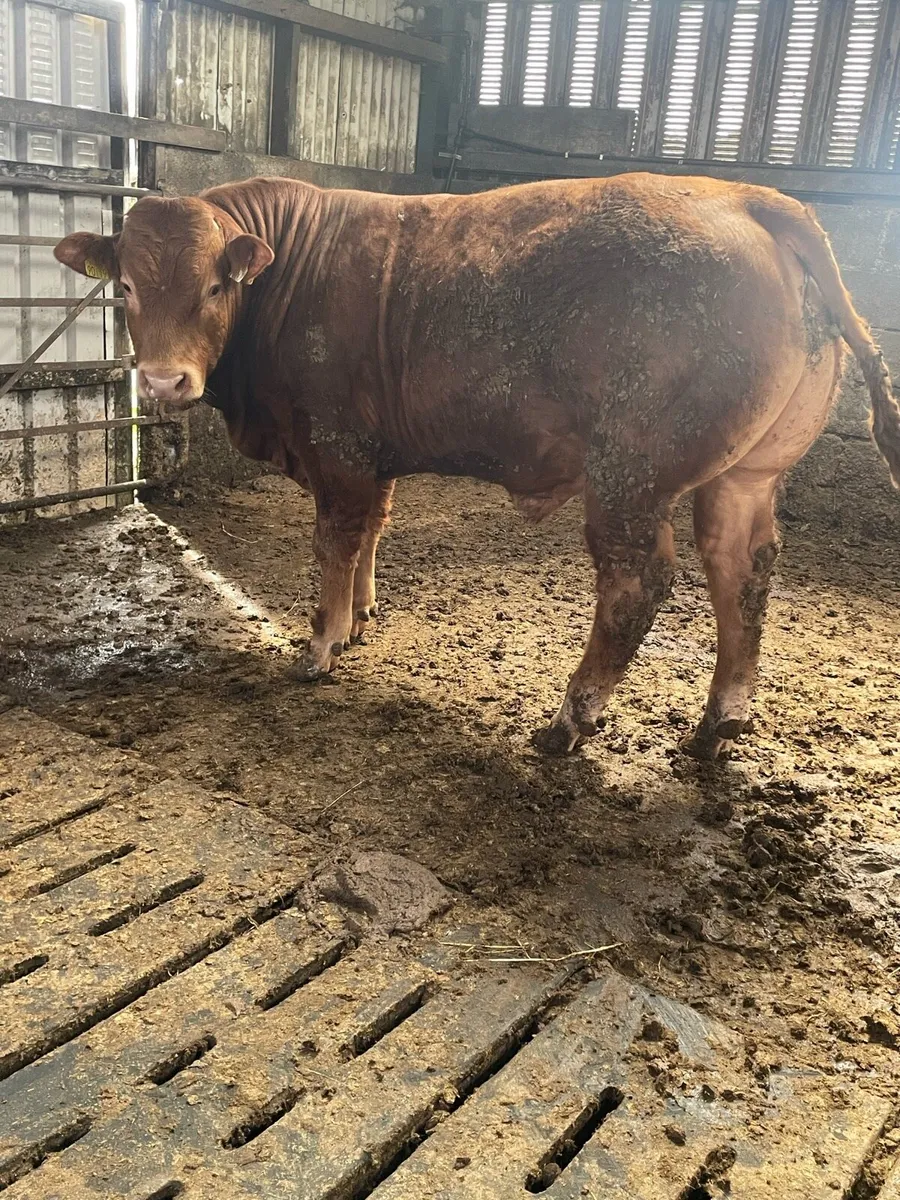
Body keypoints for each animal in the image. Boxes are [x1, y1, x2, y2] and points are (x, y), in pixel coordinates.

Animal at [55, 173, 899, 760]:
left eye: (215, 283)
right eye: (125, 285)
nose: (164, 381)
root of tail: (751, 198)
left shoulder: (337, 447)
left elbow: (335, 543)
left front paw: (321, 645)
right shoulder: (375, 452)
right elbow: (373, 531)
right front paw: (360, 618)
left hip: (631, 471)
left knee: (637, 585)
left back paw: (569, 720)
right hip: (744, 474)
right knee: (741, 572)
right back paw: (722, 720)